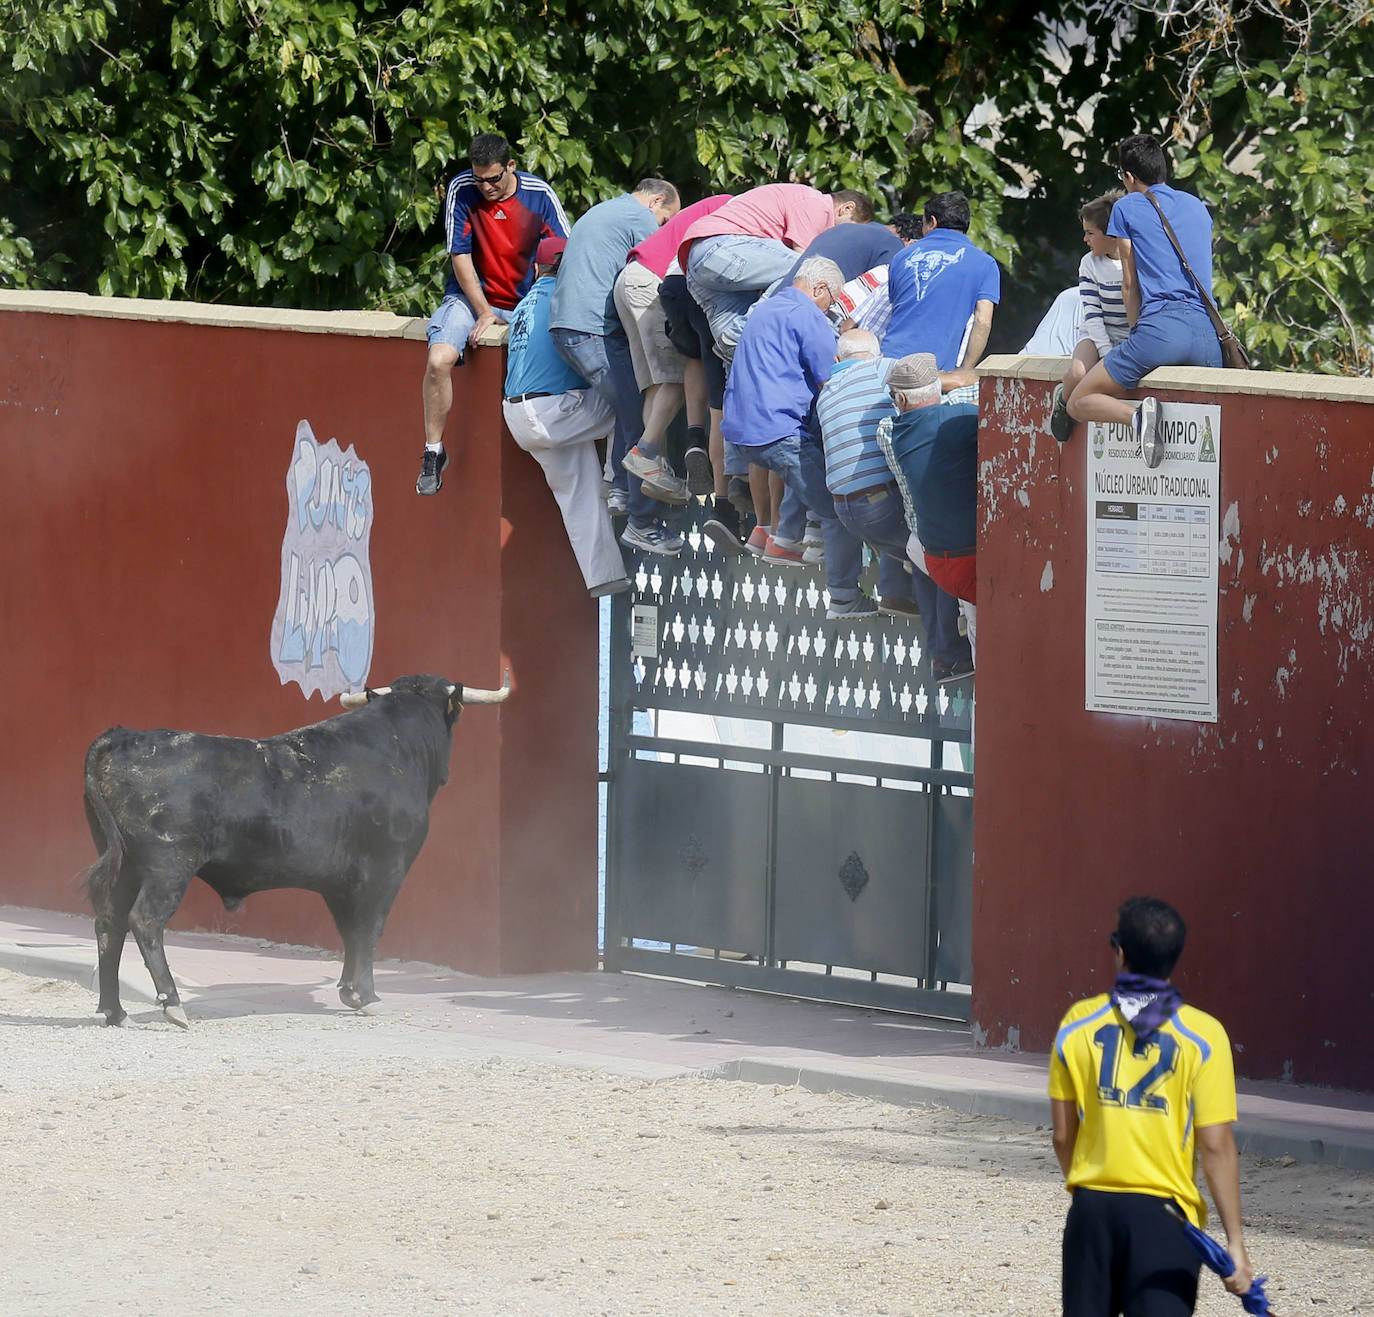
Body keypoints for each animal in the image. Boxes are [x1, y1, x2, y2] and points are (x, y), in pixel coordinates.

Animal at [81, 670, 511, 1032]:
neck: (396, 749)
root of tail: (124, 736)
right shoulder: (385, 871)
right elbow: (369, 930)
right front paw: (369, 997)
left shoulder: (339, 883)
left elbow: (349, 932)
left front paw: (349, 992)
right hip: (168, 867)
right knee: (145, 920)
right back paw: (172, 1005)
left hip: (124, 866)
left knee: (109, 923)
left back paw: (115, 1011)